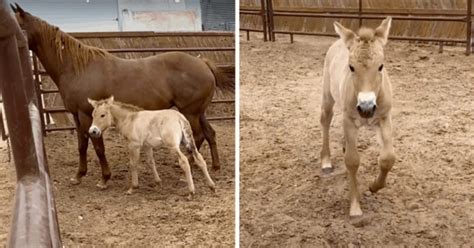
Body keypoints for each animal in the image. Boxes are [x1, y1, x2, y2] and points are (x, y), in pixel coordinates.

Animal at [88, 96, 216, 197]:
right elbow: (151, 162)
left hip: (173, 145)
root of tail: (180, 117)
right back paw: (212, 186)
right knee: (200, 159)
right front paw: (158, 182)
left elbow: (133, 164)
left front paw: (133, 187)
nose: (93, 131)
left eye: (103, 115)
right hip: (189, 142)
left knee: (184, 161)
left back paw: (191, 192)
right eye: (93, 115)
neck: (130, 119)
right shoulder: (147, 146)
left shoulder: (134, 145)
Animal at [322, 17, 396, 216]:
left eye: (381, 66)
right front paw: (355, 207)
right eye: (351, 67)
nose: (366, 107)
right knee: (325, 120)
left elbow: (388, 158)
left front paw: (374, 186)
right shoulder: (349, 120)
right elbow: (352, 161)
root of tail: (341, 40)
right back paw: (326, 162)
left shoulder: (384, 118)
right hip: (327, 95)